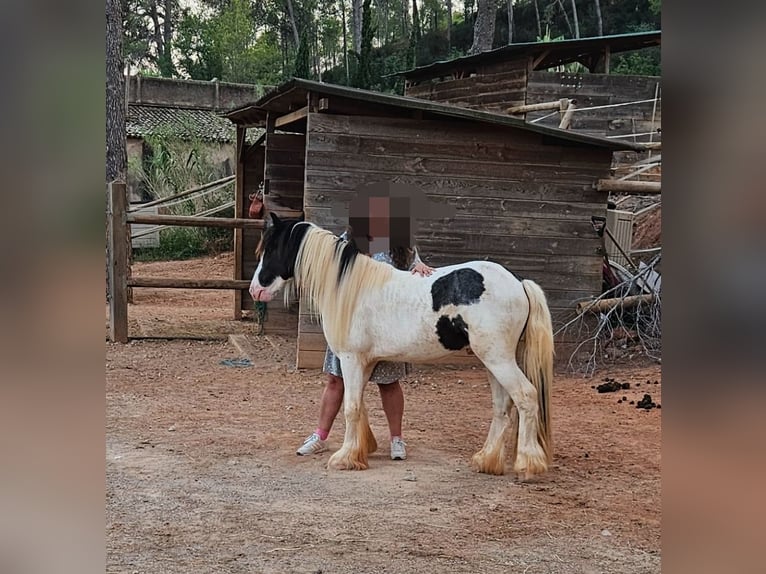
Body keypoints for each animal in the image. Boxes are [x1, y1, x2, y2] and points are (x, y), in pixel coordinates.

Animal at [252, 214, 560, 480]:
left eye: (272, 248)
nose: (256, 290)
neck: (349, 288)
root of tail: (519, 284)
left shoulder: (351, 359)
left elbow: (351, 407)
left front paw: (344, 458)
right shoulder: (365, 362)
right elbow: (359, 404)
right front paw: (360, 451)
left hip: (499, 359)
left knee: (526, 397)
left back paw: (527, 465)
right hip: (492, 361)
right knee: (501, 407)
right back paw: (486, 461)